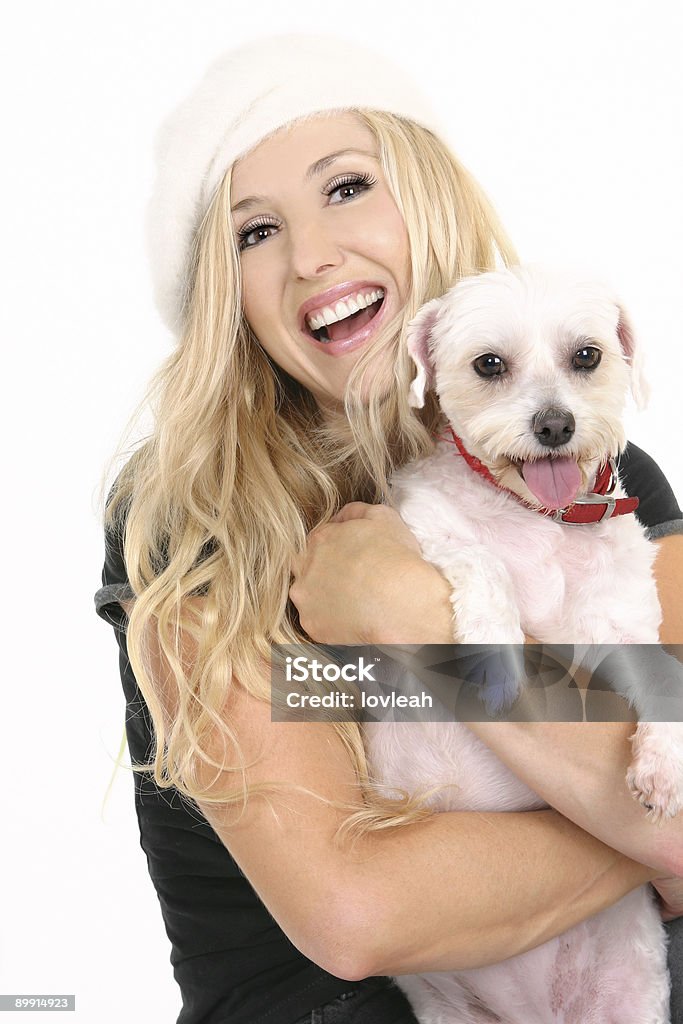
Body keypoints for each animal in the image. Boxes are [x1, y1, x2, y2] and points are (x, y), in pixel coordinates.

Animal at [366, 266, 683, 1024]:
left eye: (587, 356)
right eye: (489, 365)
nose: (555, 425)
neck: (541, 518)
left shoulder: (617, 630)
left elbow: (663, 676)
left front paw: (662, 766)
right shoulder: (419, 530)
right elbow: (481, 561)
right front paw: (498, 657)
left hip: (631, 996)